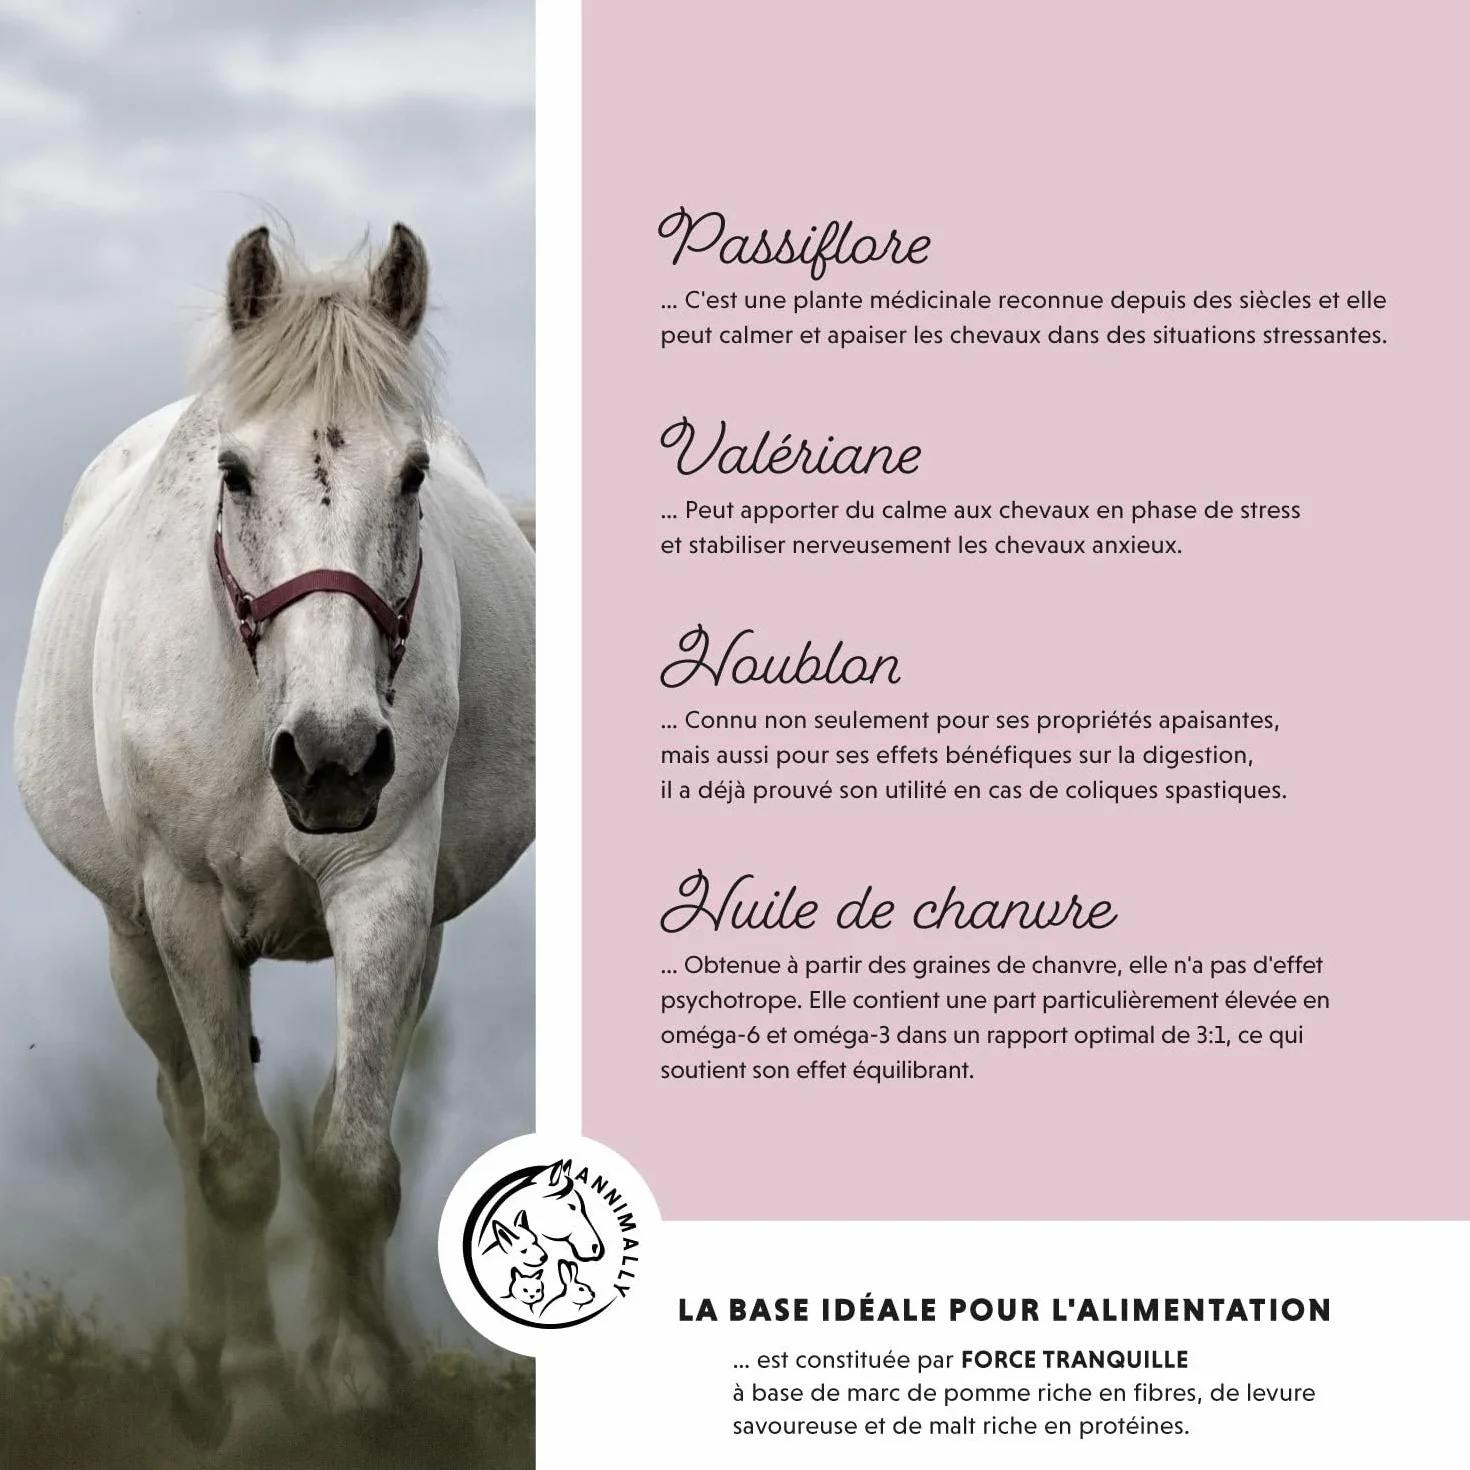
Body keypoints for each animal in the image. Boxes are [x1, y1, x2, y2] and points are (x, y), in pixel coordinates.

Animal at [13, 223, 534, 1441]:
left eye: (415, 473)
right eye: (236, 472)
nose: (333, 759)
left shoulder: (387, 896)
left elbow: (353, 1159)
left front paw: (359, 1385)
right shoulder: (185, 909)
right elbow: (238, 1162)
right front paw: (251, 1395)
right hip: (133, 943)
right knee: (185, 1115)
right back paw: (203, 1361)